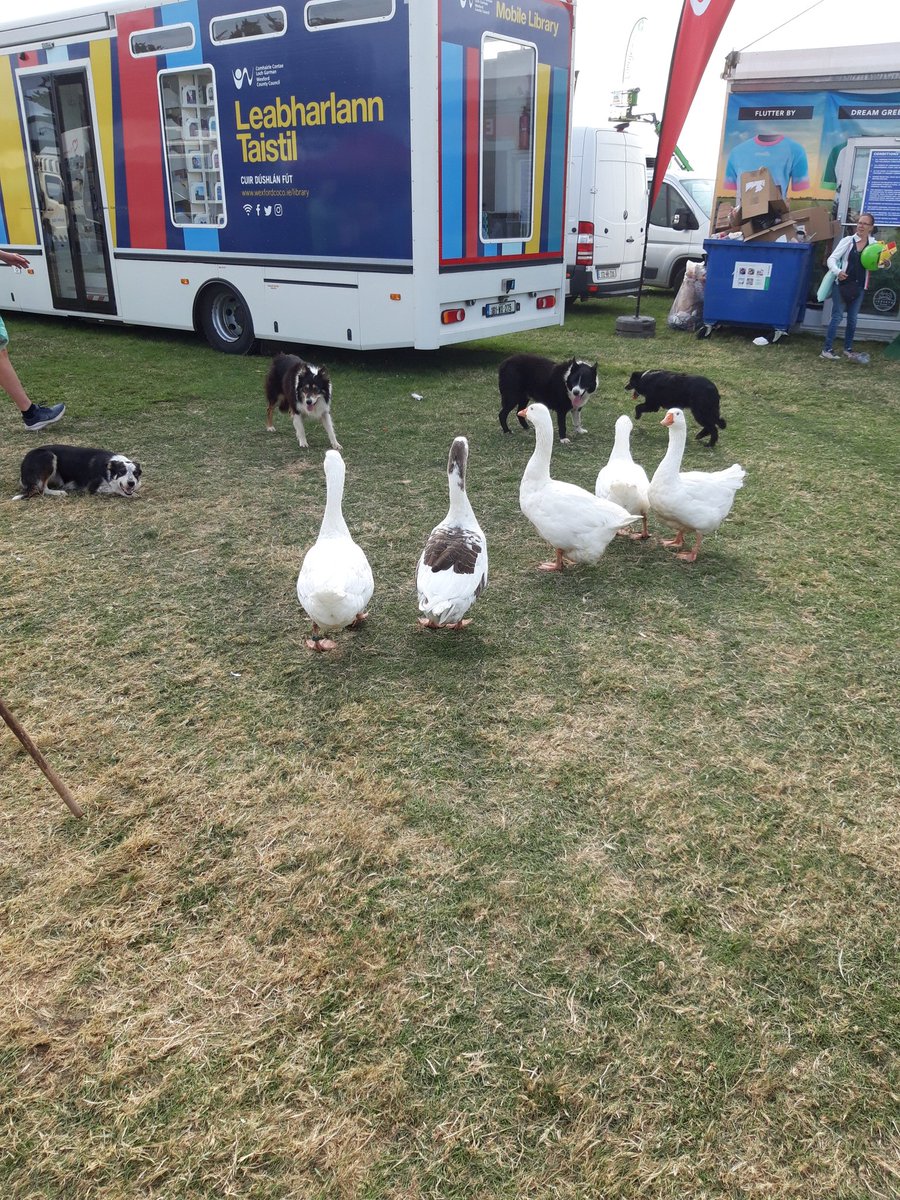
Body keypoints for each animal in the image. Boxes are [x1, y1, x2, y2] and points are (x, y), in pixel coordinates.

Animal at [13, 446, 142, 501]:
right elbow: (115, 489)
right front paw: (131, 494)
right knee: (42, 489)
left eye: (136, 474)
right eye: (121, 472)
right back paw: (59, 492)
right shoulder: (91, 487)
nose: (131, 483)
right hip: (49, 456)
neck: (107, 468)